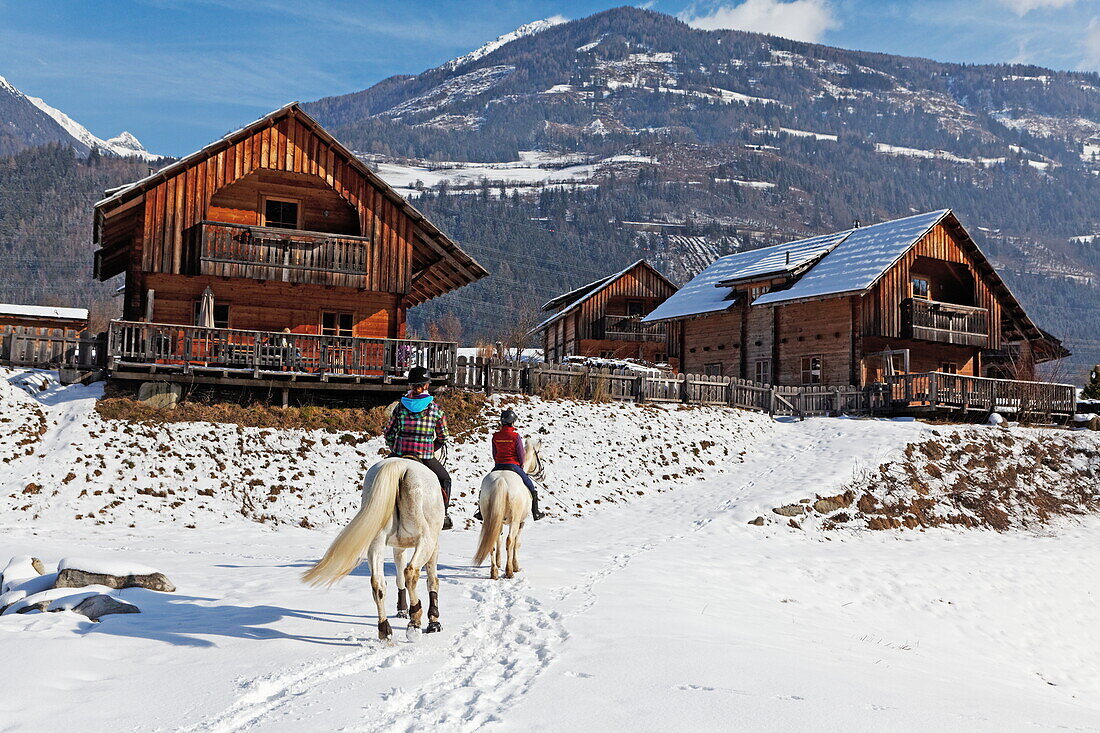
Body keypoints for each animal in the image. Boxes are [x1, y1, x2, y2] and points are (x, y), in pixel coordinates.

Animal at [303, 457, 444, 638]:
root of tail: (401, 466)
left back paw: (385, 630)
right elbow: (432, 580)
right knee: (411, 572)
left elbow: (399, 577)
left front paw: (402, 610)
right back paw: (414, 621)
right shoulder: (434, 543)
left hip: (377, 541)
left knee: (378, 583)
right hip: (426, 539)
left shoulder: (399, 547)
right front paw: (434, 621)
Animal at [473, 435, 541, 581]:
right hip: (515, 520)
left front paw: (499, 563)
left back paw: (494, 573)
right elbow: (516, 543)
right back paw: (509, 572)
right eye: (539, 455)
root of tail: (501, 480)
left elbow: (498, 538)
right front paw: (515, 566)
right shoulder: (521, 522)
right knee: (510, 541)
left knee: (491, 541)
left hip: (488, 518)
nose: (542, 474)